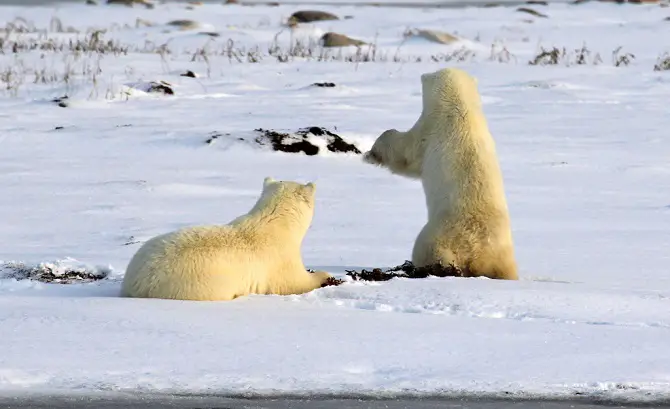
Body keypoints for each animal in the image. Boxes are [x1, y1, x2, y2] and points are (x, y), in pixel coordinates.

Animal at [120, 177, 334, 302]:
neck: (275, 222)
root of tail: (136, 283)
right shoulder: (279, 259)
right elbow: (293, 283)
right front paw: (324, 275)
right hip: (195, 284)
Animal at [364, 67, 524, 278]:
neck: (460, 110)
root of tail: (476, 254)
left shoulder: (429, 130)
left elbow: (406, 153)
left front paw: (370, 154)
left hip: (438, 234)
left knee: (425, 249)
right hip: (501, 251)